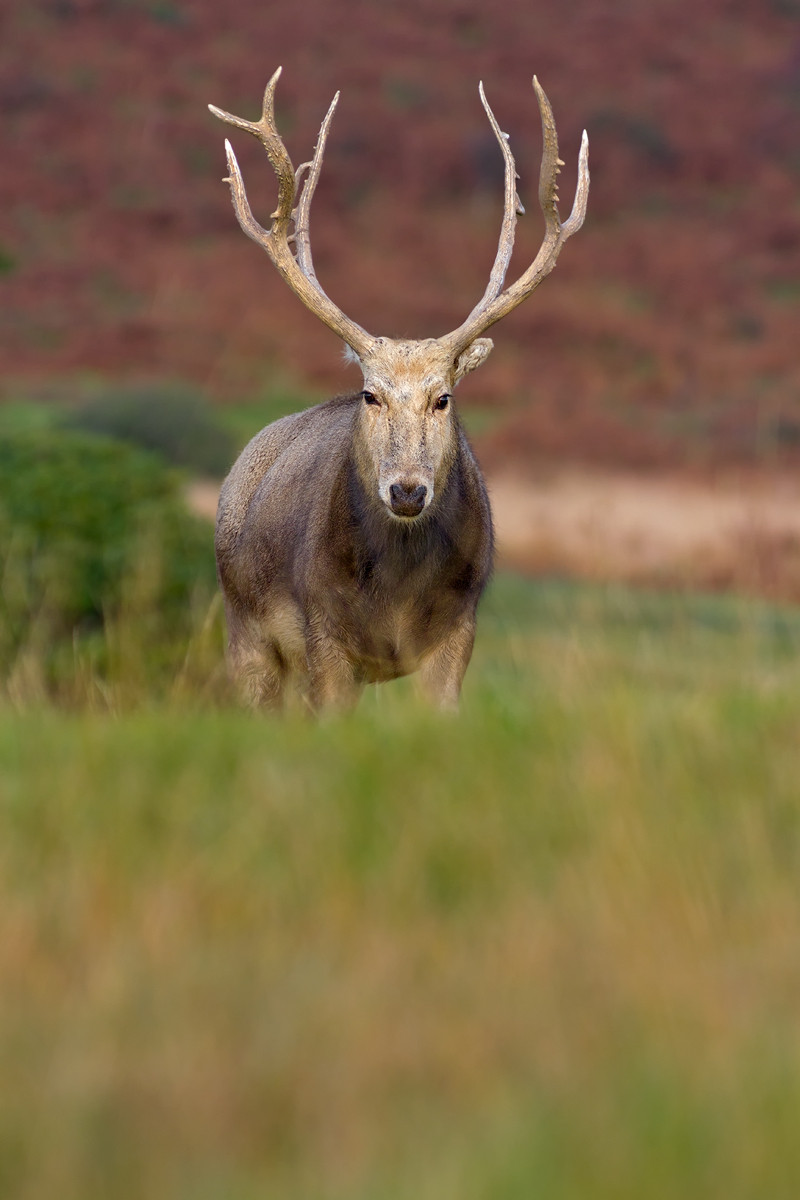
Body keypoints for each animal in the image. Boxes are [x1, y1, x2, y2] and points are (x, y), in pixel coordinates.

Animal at [209, 68, 588, 712]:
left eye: (444, 397)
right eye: (370, 394)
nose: (407, 490)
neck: (396, 598)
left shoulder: (459, 634)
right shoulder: (322, 637)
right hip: (247, 631)